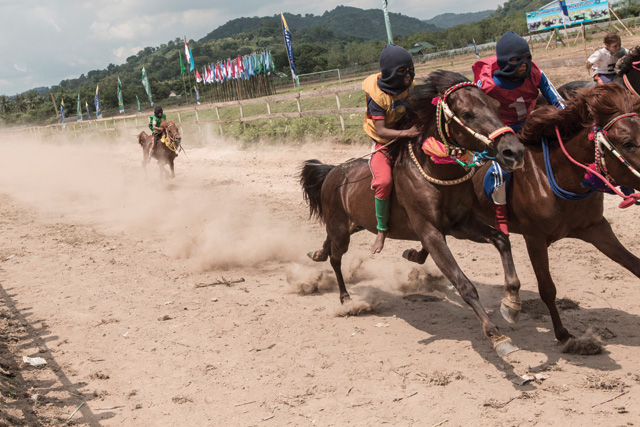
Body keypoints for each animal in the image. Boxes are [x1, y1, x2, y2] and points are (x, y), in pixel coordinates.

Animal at [300, 70, 524, 356]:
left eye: (496, 106)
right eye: (467, 114)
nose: (514, 151)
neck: (434, 170)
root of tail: (333, 172)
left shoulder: (461, 224)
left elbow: (501, 239)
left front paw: (512, 302)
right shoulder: (430, 232)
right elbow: (463, 283)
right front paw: (496, 334)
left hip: (349, 225)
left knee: (328, 245)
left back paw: (318, 254)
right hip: (340, 229)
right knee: (336, 259)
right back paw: (346, 298)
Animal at [404, 83, 640, 344]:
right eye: (628, 143)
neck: (556, 176)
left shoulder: (596, 227)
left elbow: (634, 265)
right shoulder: (534, 237)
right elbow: (547, 288)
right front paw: (562, 333)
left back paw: (416, 255)